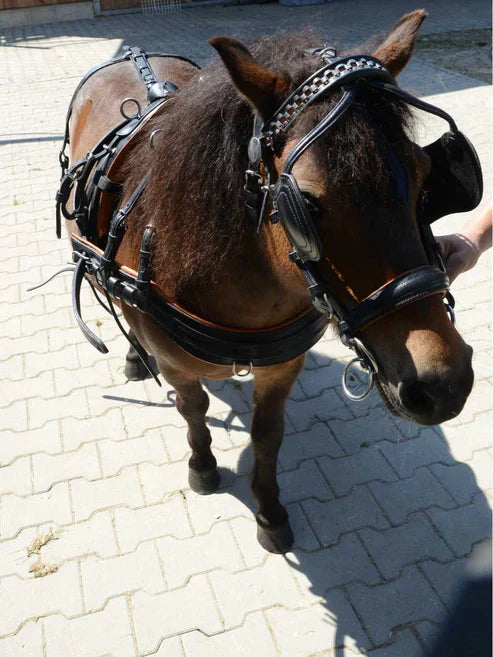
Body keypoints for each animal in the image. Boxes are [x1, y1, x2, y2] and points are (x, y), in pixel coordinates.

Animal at [63, 9, 475, 553]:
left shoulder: (283, 366)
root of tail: (134, 57)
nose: (443, 384)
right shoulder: (176, 365)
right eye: (307, 203)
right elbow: (193, 408)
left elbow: (267, 432)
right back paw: (134, 355)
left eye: (429, 175)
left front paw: (269, 512)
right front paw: (203, 466)